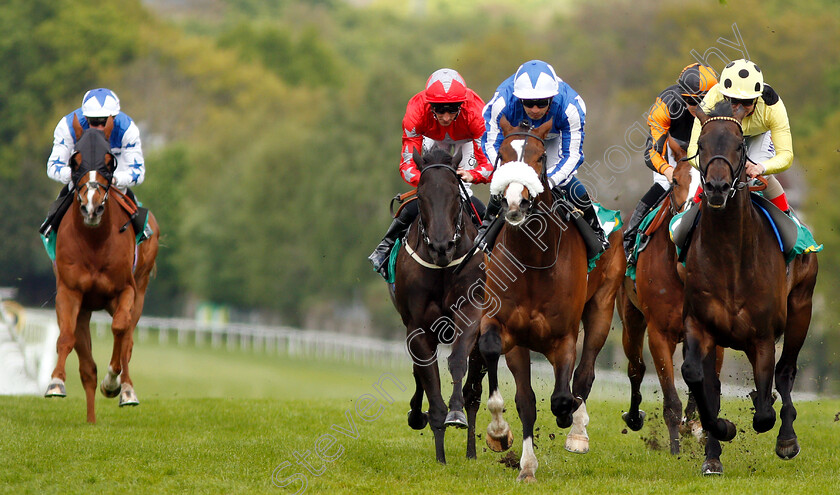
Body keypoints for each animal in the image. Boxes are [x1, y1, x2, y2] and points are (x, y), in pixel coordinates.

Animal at [43, 114, 159, 424]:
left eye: (110, 161)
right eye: (75, 160)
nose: (92, 208)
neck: (94, 242)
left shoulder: (126, 290)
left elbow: (120, 330)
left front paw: (114, 383)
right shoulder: (70, 292)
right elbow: (66, 338)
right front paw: (56, 382)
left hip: (140, 290)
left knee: (127, 340)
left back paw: (126, 390)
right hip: (85, 308)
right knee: (87, 368)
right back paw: (91, 420)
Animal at [394, 147, 486, 464]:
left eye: (455, 194)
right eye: (421, 195)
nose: (441, 246)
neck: (443, 268)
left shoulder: (471, 314)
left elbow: (457, 361)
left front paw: (455, 413)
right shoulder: (417, 328)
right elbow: (429, 385)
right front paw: (440, 458)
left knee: (474, 393)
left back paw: (471, 452)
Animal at [476, 118, 620, 482]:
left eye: (540, 157)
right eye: (502, 154)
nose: (515, 203)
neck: (532, 261)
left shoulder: (563, 336)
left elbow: (562, 396)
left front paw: (568, 418)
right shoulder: (507, 331)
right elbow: (522, 397)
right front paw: (506, 441)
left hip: (602, 306)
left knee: (585, 372)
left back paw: (577, 433)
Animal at [616, 155, 720, 454]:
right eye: (675, 182)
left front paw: (698, 430)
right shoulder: (659, 334)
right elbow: (671, 398)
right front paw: (675, 449)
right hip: (630, 318)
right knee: (636, 368)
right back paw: (634, 417)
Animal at [684, 101, 820, 476]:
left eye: (739, 146)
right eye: (701, 145)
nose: (716, 188)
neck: (730, 256)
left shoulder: (762, 336)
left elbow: (763, 414)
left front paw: (771, 421)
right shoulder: (700, 325)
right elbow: (698, 379)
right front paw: (719, 438)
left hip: (801, 309)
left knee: (785, 373)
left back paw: (787, 437)